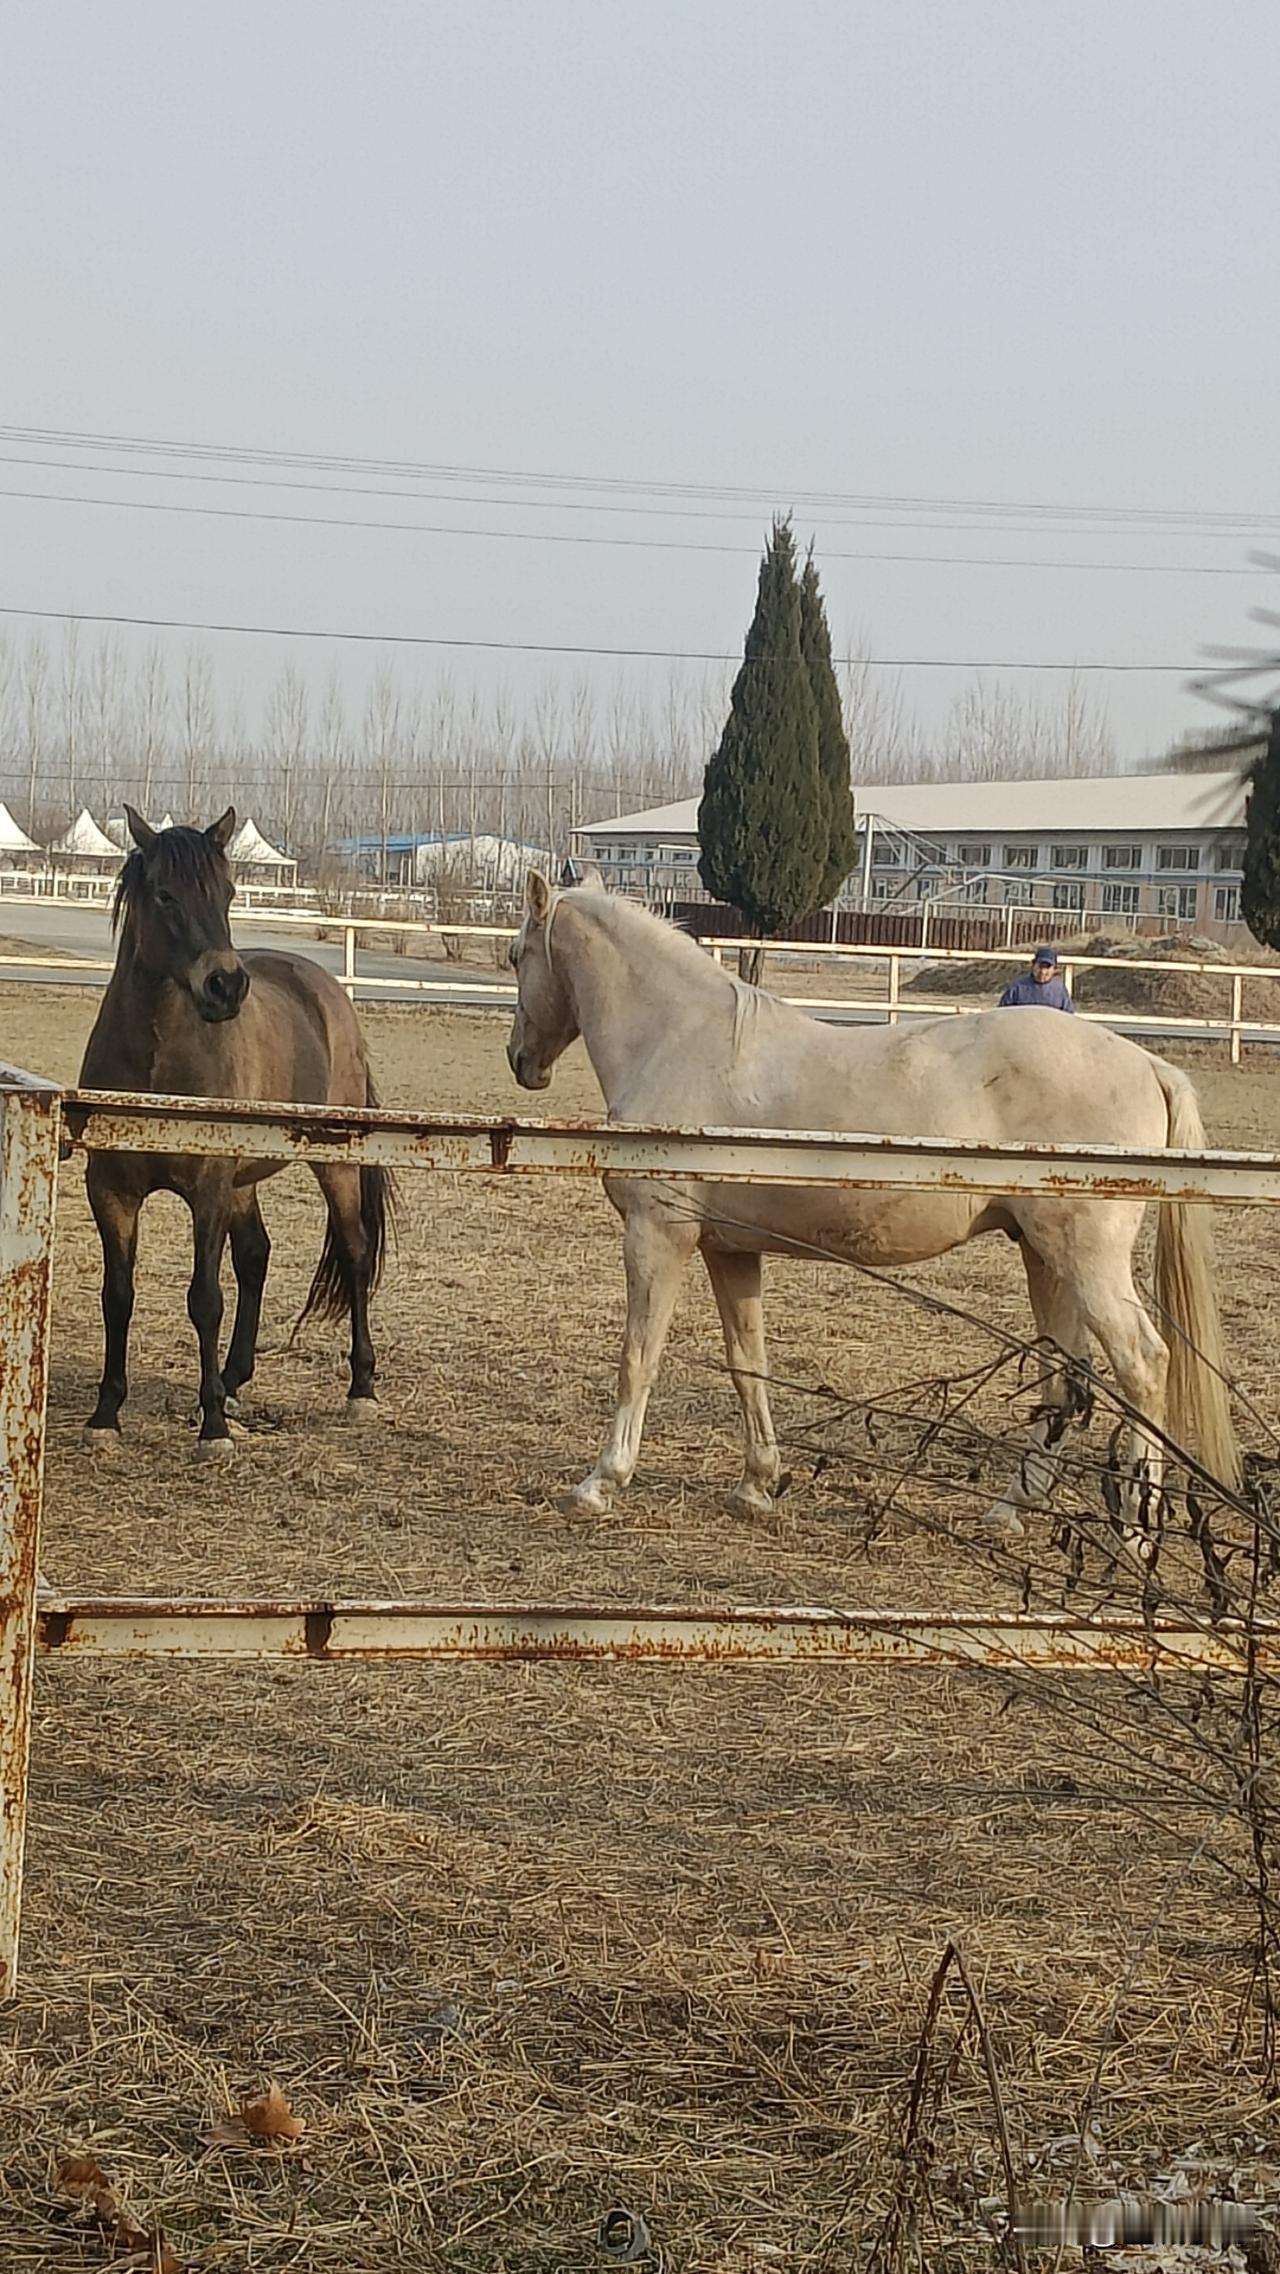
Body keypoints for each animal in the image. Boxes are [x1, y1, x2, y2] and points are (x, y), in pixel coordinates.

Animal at [78, 807, 395, 1457]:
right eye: (165, 895)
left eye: (226, 893)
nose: (226, 986)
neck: (158, 1067)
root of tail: (324, 989)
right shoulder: (112, 1193)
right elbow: (117, 1297)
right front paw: (106, 1415)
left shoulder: (207, 1191)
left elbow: (205, 1299)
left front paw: (214, 1431)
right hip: (245, 1178)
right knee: (255, 1255)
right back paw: (231, 1379)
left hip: (333, 1160)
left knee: (353, 1253)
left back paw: (360, 1388)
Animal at [506, 872, 1240, 1533]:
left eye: (517, 957)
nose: (521, 1062)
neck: (685, 1042)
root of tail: (1148, 1065)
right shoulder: (729, 1250)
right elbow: (749, 1365)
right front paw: (757, 1485)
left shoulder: (658, 1236)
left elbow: (638, 1359)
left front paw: (600, 1483)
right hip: (1044, 1258)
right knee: (1064, 1379)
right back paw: (1011, 1509)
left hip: (1084, 1256)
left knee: (1144, 1365)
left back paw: (1137, 1525)